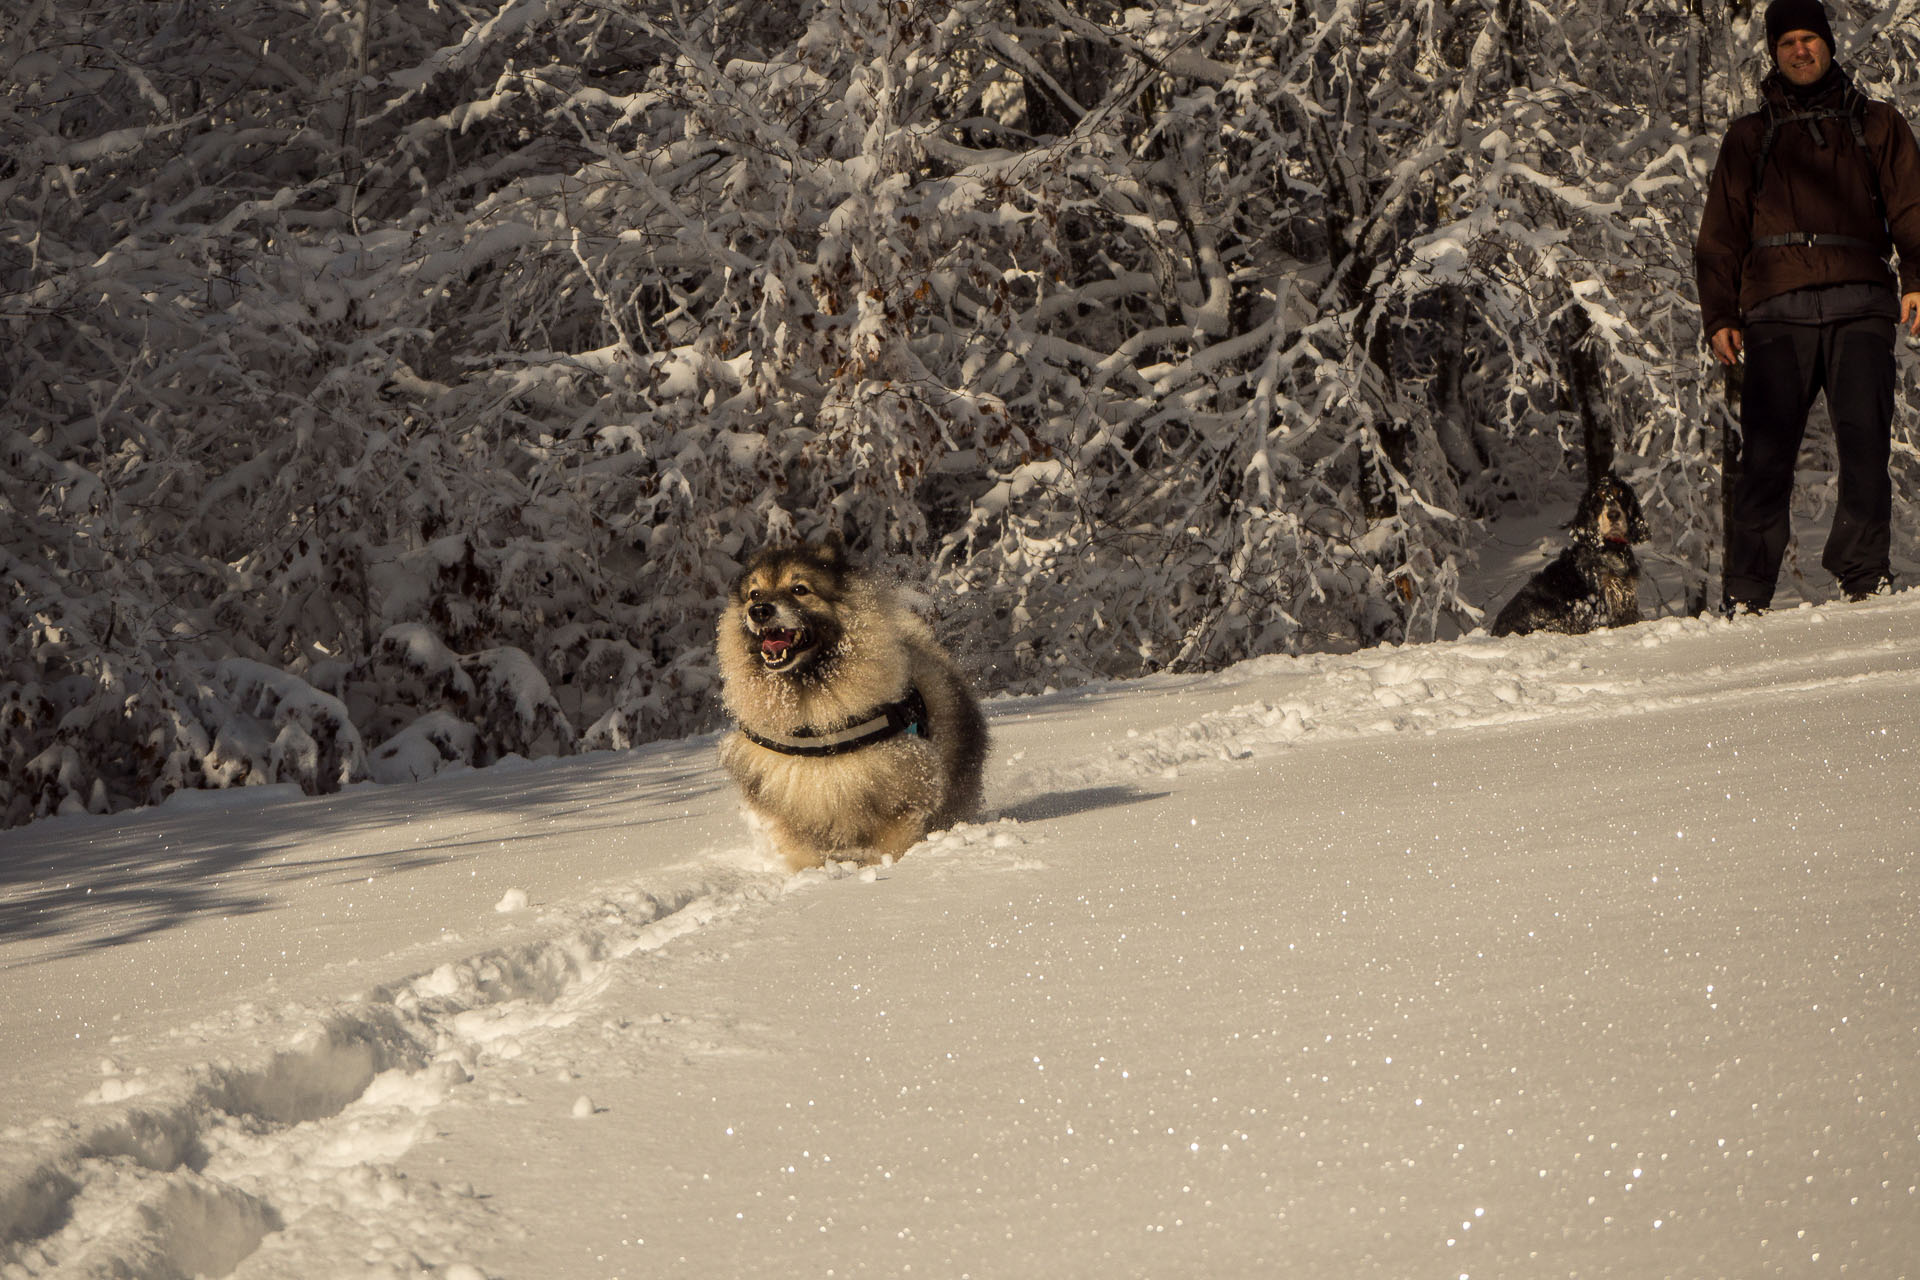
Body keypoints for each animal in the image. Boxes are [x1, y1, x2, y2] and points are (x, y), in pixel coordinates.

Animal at [718, 537, 990, 875]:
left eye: (800, 589)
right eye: (754, 594)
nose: (759, 610)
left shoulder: (898, 794)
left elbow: (893, 843)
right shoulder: (791, 807)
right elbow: (805, 853)